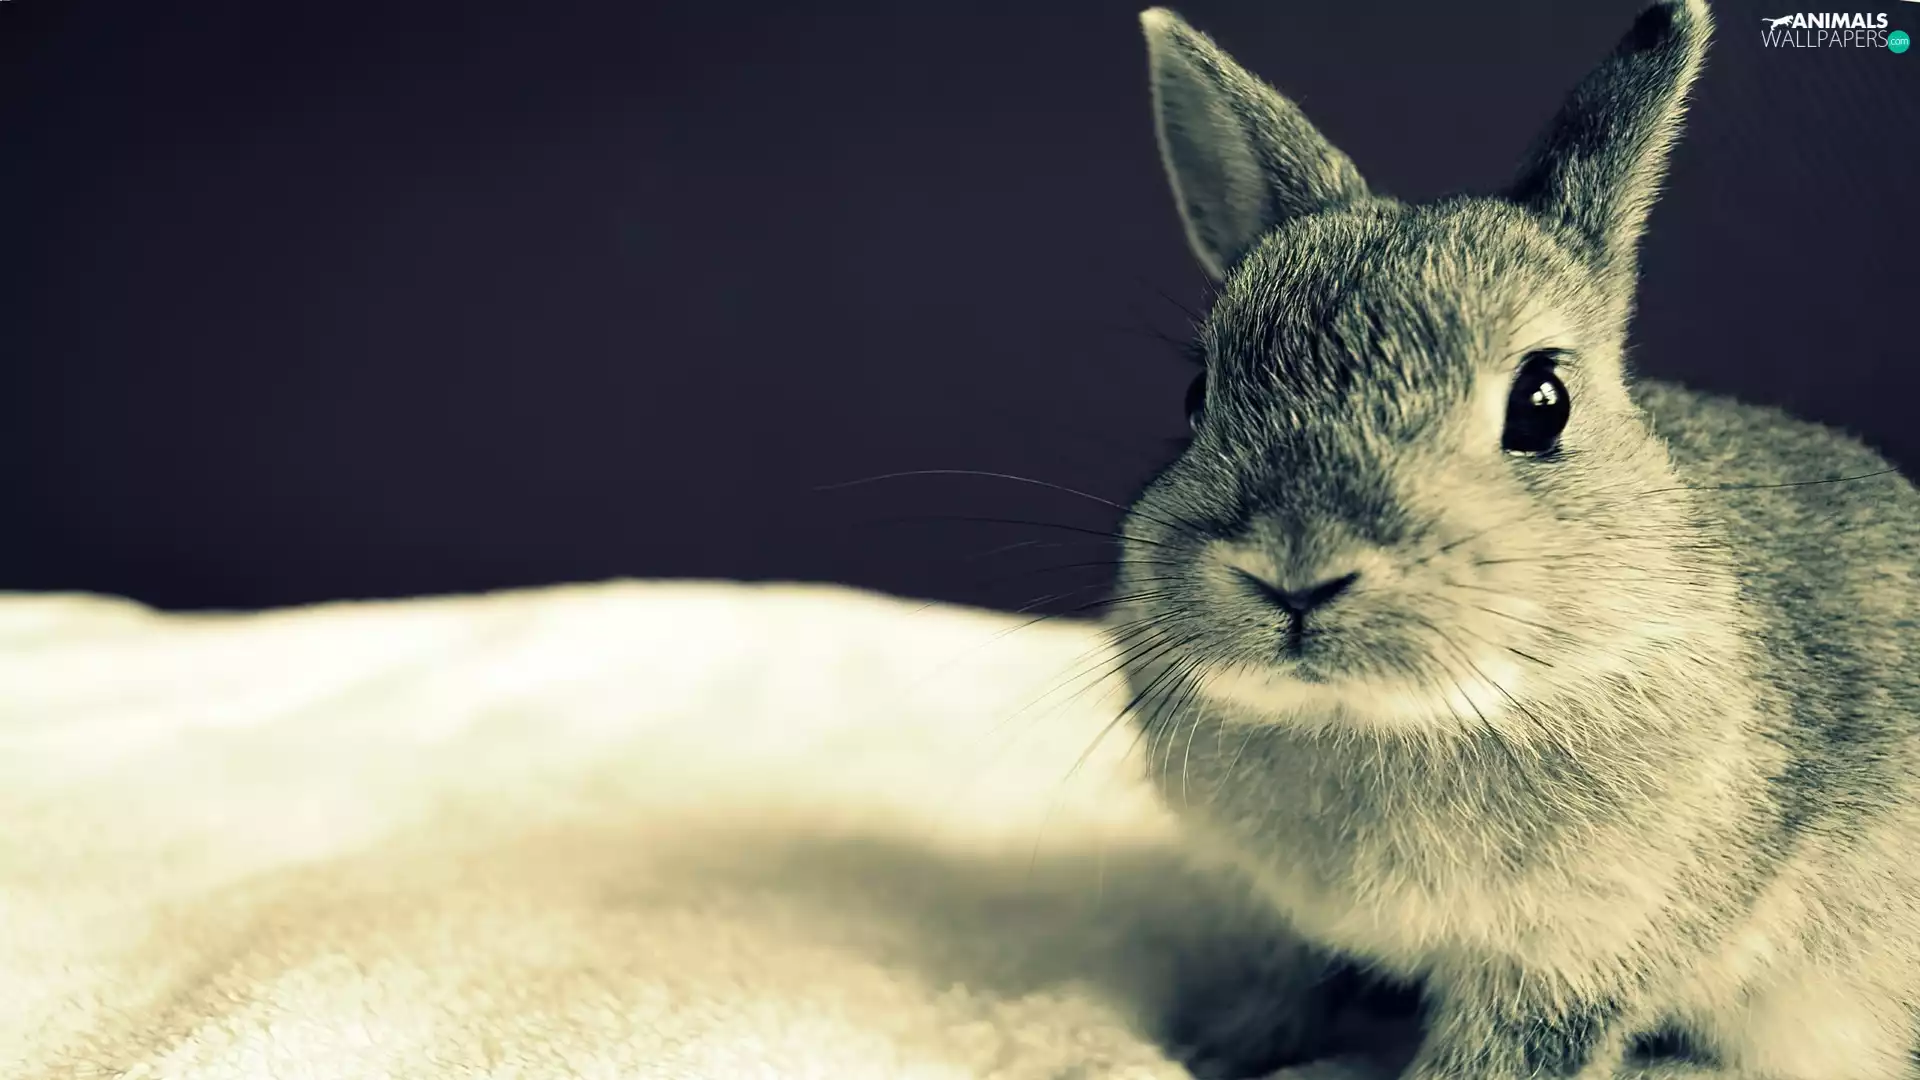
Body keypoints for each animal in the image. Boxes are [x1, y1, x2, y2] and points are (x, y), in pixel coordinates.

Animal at [1109, 1, 1920, 1078]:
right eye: (1198, 397)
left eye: (1543, 403)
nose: (1294, 574)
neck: (1382, 720)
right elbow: (1290, 989)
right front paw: (1215, 1050)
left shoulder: (1571, 963)